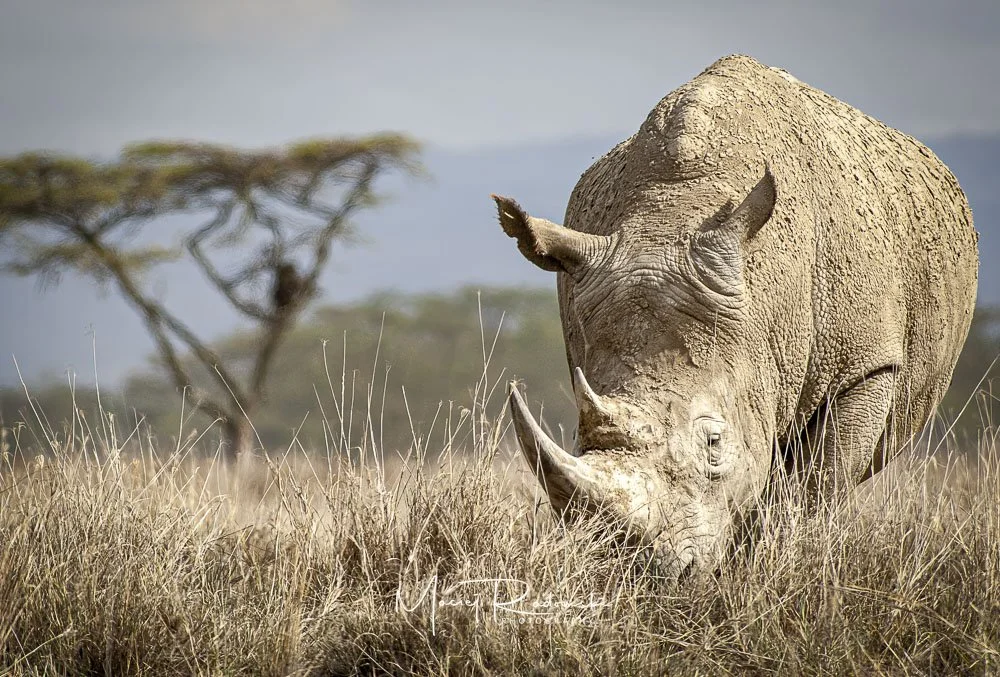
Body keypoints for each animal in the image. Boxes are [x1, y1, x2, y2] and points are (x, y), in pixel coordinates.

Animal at [492, 55, 978, 581]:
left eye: (714, 442)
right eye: (578, 437)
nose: (641, 573)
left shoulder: (864, 363)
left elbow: (812, 486)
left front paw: (766, 568)